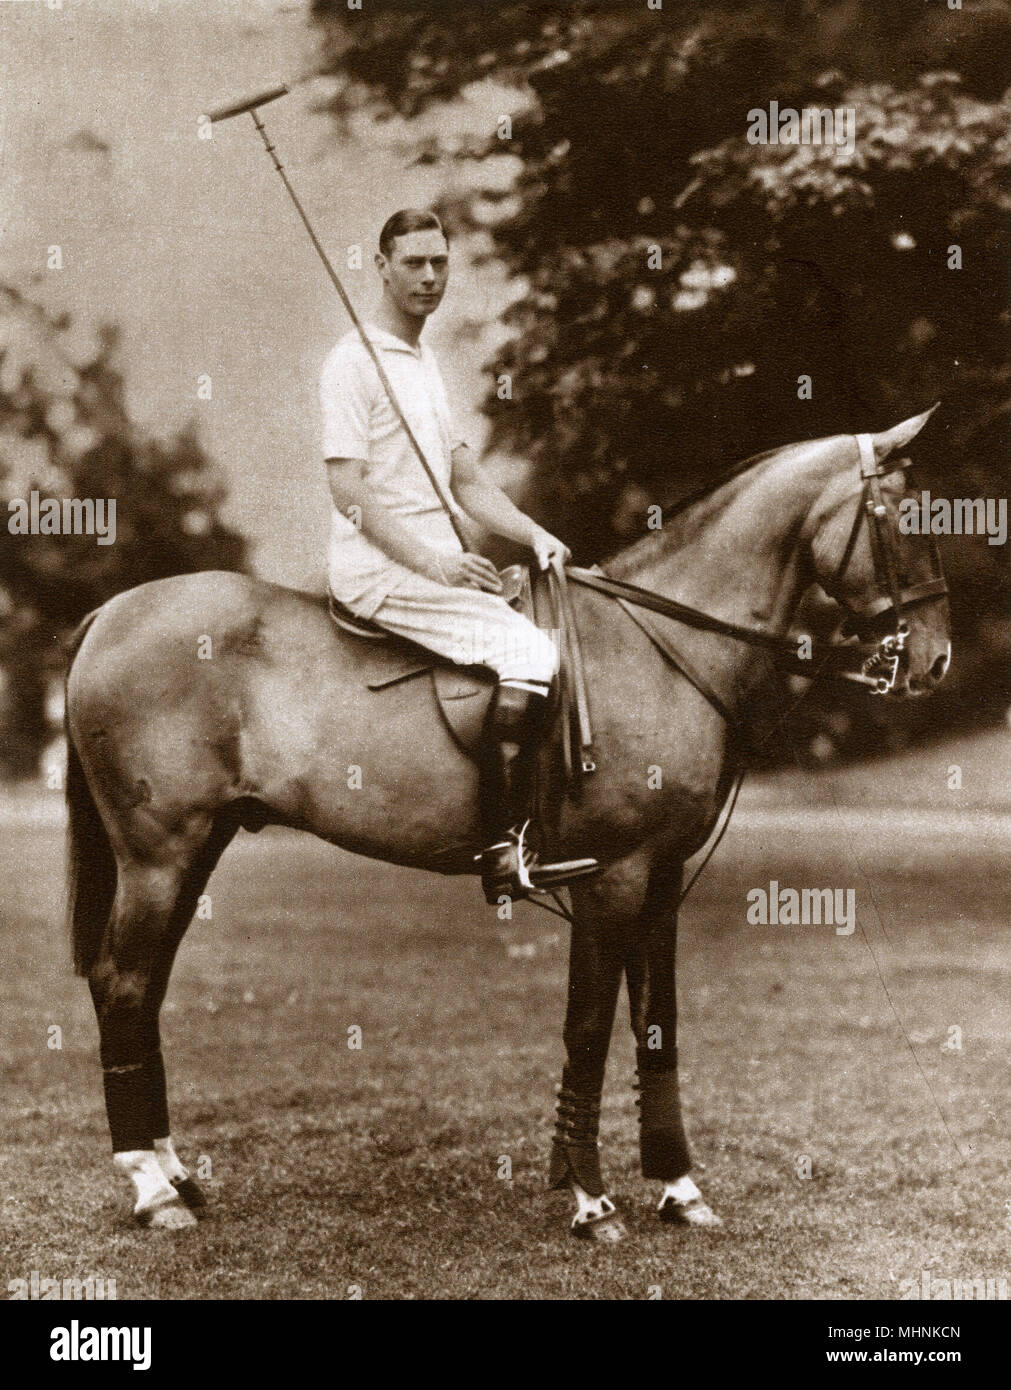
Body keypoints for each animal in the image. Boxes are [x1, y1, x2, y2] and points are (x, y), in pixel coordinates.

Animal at [63, 408, 951, 1239]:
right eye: (902, 516)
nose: (933, 661)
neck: (659, 643)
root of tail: (106, 613)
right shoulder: (612, 874)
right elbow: (587, 1029)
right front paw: (590, 1200)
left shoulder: (661, 876)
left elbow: (656, 1026)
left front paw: (677, 1187)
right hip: (157, 854)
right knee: (123, 983)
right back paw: (150, 1190)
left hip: (197, 848)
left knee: (141, 990)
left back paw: (176, 1176)